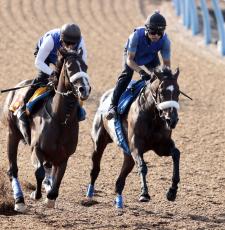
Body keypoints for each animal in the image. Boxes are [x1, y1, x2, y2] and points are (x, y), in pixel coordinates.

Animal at [2, 48, 91, 212]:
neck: (61, 120)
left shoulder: (64, 156)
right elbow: (39, 173)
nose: (85, 89)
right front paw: (36, 195)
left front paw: (50, 197)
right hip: (12, 134)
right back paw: (19, 200)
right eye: (70, 67)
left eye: (85, 66)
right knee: (13, 169)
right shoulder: (36, 149)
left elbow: (58, 179)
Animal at [87, 66, 180, 208]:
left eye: (178, 92)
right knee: (95, 169)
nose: (172, 120)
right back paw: (90, 194)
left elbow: (176, 153)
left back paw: (119, 202)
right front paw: (144, 194)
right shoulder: (135, 146)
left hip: (128, 154)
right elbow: (142, 166)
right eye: (162, 92)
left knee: (120, 180)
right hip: (99, 142)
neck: (152, 116)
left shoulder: (161, 146)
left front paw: (172, 191)